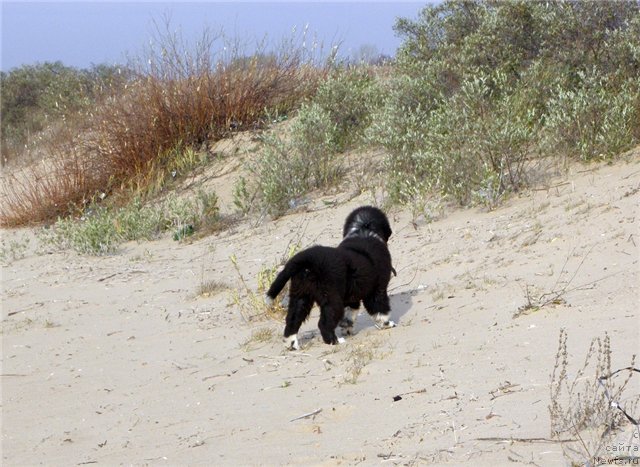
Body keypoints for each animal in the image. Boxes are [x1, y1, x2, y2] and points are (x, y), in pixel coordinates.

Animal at [264, 207, 396, 350]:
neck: (363, 229)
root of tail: (307, 259)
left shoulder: (352, 294)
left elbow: (351, 312)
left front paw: (347, 327)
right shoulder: (377, 289)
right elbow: (380, 308)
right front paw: (387, 324)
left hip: (300, 296)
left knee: (292, 320)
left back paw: (291, 344)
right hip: (332, 299)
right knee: (324, 324)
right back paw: (335, 341)